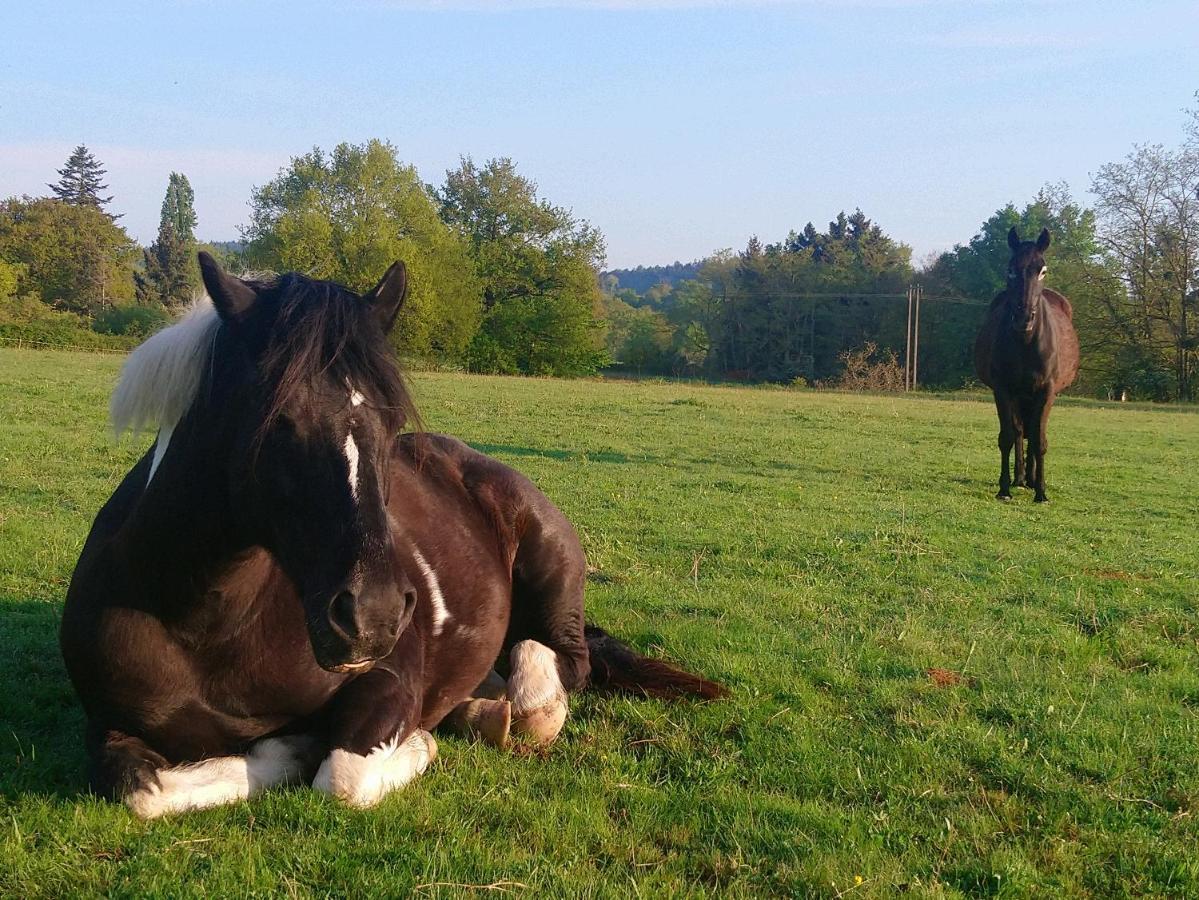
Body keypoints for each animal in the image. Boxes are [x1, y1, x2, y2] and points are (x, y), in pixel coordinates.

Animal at [60, 251, 724, 814]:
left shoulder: (388, 683)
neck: (203, 620)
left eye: (393, 417)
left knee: (559, 664)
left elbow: (343, 774)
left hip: (551, 572)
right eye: (275, 418)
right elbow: (140, 792)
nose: (373, 614)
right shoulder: (107, 725)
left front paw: (396, 745)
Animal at [968, 228, 1083, 503]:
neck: (1026, 341)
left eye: (1043, 269)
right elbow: (1008, 436)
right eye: (1010, 269)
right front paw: (1004, 488)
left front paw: (1041, 491)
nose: (1023, 317)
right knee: (1021, 431)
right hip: (1020, 395)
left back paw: (1030, 480)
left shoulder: (1046, 390)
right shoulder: (1003, 389)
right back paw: (1020, 478)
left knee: (1032, 431)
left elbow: (1039, 440)